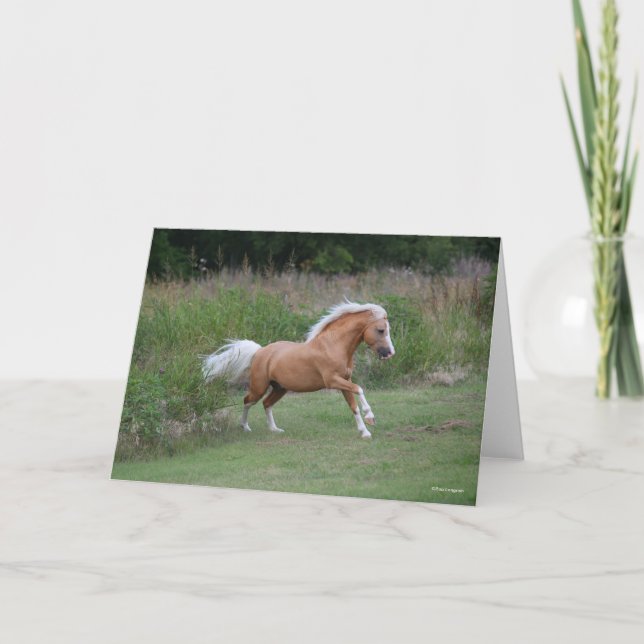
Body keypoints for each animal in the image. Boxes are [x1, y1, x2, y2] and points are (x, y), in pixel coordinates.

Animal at [202, 301, 395, 438]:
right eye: (381, 330)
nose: (390, 353)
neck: (333, 346)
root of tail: (260, 351)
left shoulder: (344, 382)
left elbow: (353, 405)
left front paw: (365, 432)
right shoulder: (333, 381)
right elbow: (359, 389)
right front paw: (370, 417)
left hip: (280, 388)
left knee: (266, 403)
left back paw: (275, 429)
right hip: (259, 386)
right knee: (248, 401)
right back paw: (245, 427)